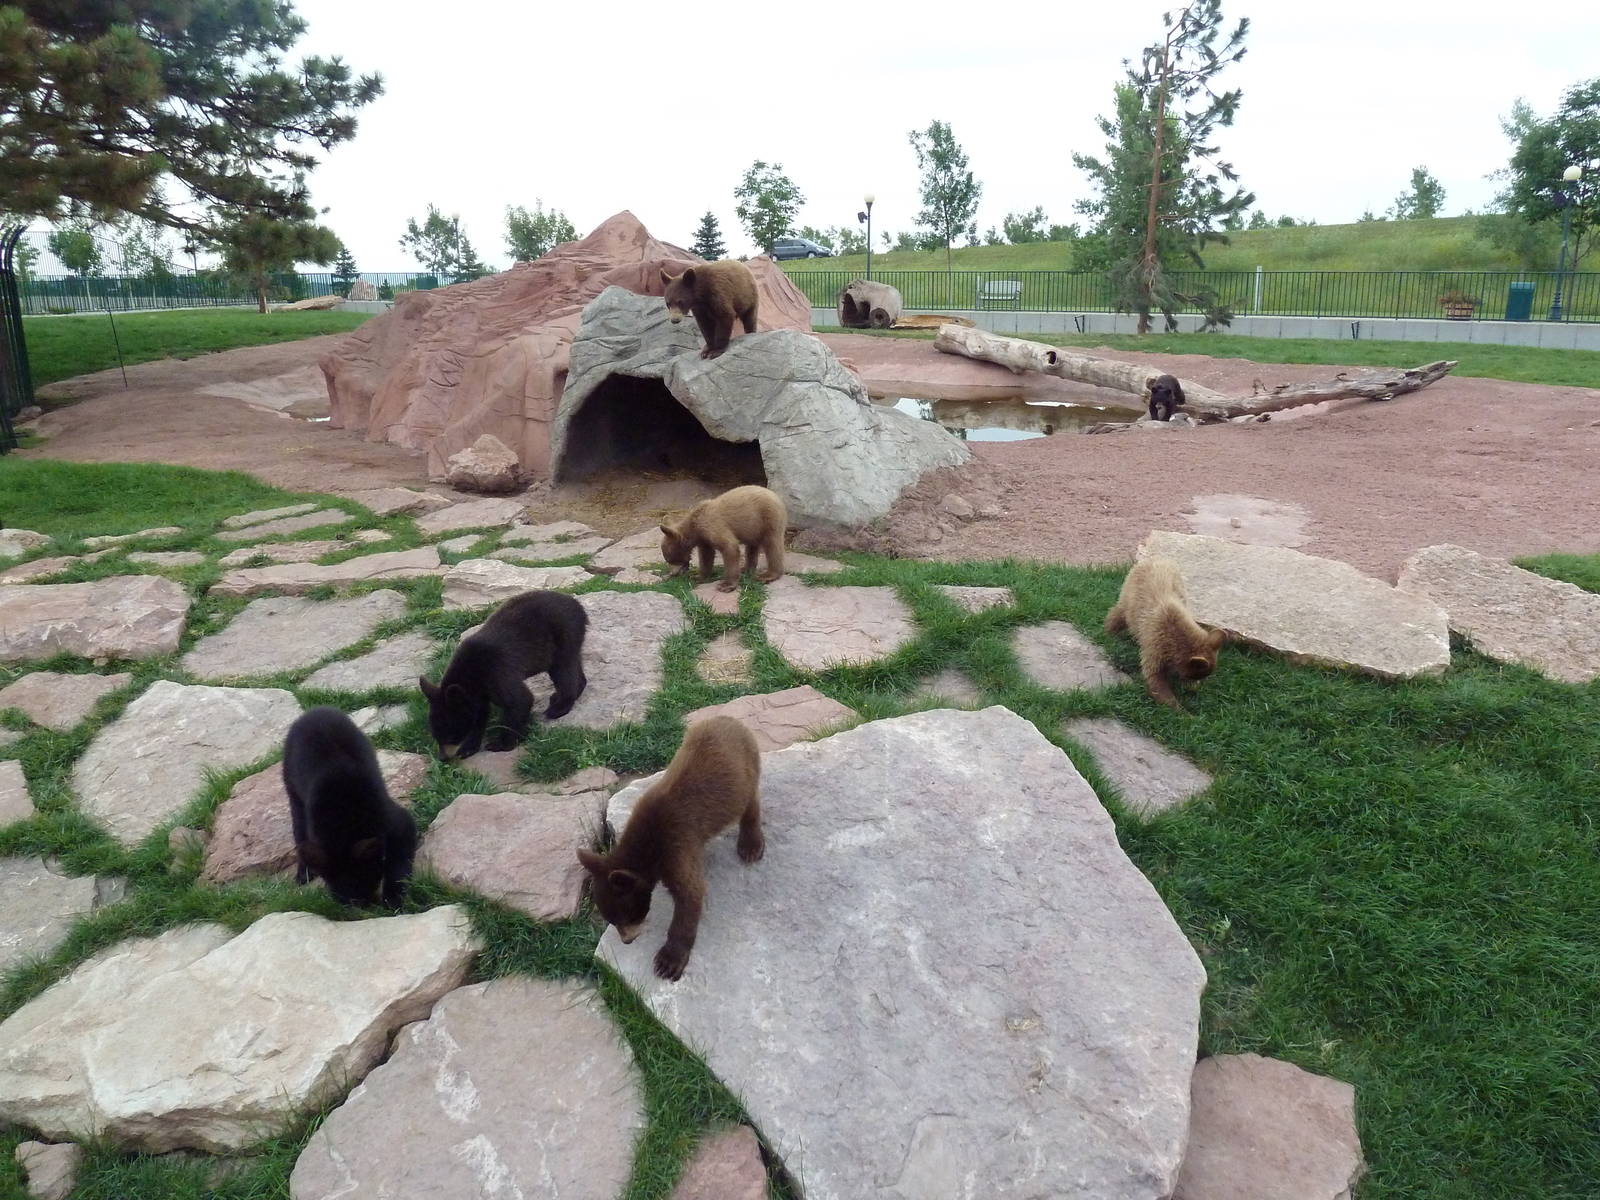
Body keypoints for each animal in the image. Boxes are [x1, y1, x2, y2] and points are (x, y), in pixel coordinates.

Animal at [284, 706, 418, 909]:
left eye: (365, 881)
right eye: (335, 886)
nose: (358, 906)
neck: (343, 819)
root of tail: (314, 711)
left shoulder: (400, 823)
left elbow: (398, 864)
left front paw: (393, 900)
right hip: (293, 792)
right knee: (299, 830)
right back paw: (303, 873)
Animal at [419, 590, 588, 761]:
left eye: (451, 736)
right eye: (436, 736)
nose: (443, 758)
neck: (472, 676)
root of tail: (577, 605)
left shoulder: (496, 673)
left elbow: (519, 700)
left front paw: (500, 744)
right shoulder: (479, 693)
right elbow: (480, 713)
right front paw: (468, 748)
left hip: (563, 634)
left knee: (563, 670)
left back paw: (558, 707)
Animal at [577, 715, 762, 981]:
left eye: (625, 916)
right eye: (610, 918)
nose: (626, 941)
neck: (648, 848)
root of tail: (731, 719)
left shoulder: (677, 843)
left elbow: (690, 893)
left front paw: (668, 961)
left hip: (745, 770)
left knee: (750, 801)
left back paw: (750, 846)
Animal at [1104, 557, 1225, 710]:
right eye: (1195, 675)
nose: (1193, 687)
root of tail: (1153, 559)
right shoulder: (1155, 644)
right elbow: (1155, 677)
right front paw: (1177, 707)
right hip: (1129, 598)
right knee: (1118, 614)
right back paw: (1109, 633)